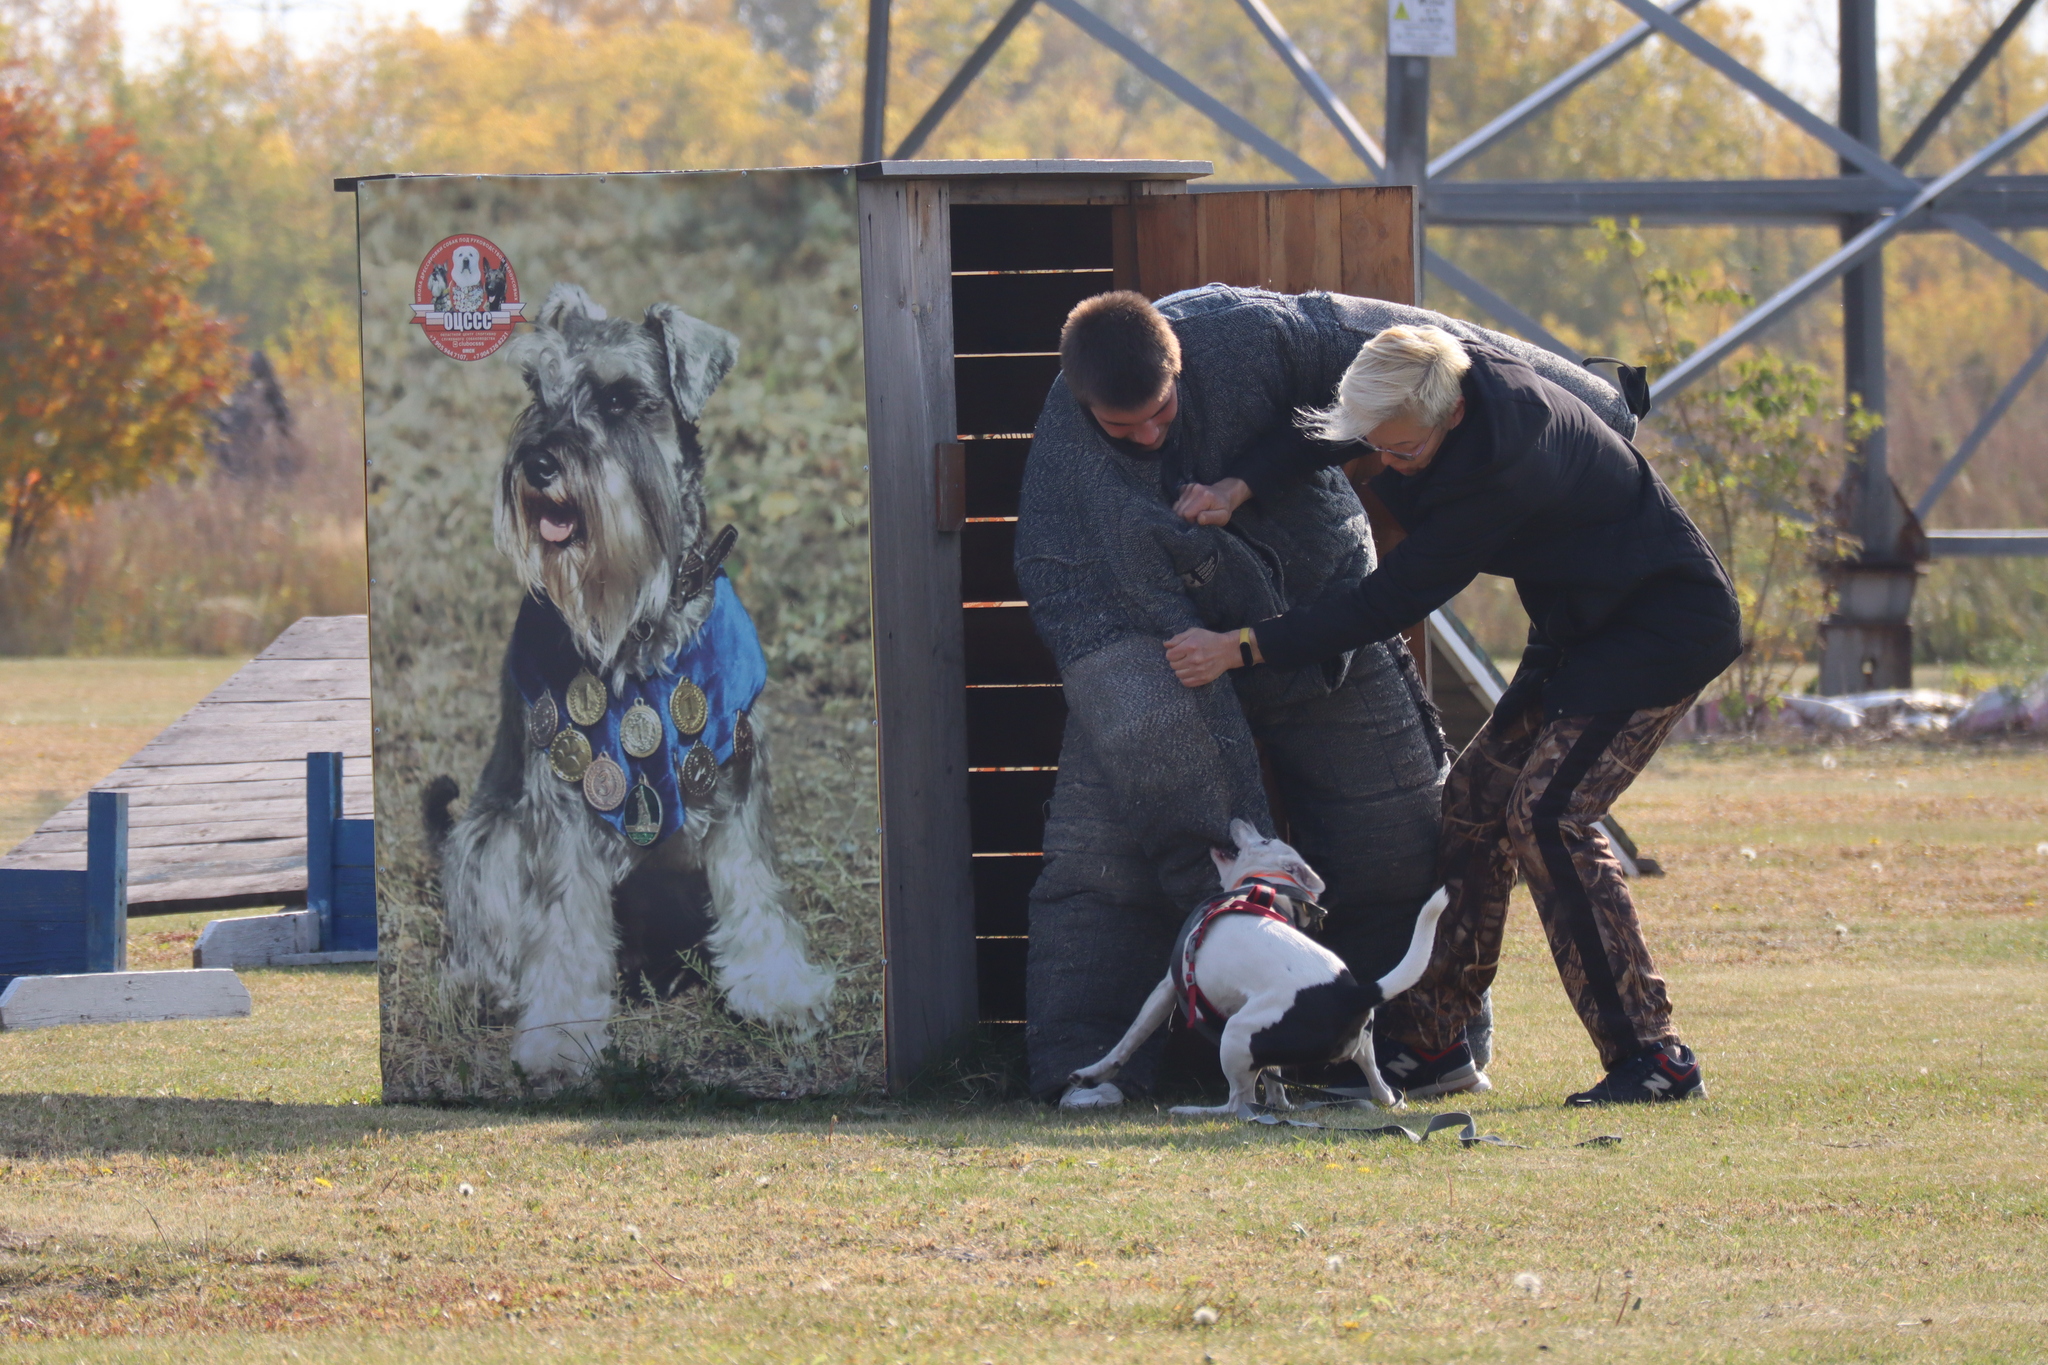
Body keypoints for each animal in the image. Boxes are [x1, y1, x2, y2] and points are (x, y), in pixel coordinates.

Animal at [423, 282, 839, 1080]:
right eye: (537, 389)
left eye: (620, 399)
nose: (538, 461)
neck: (641, 623)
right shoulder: (558, 801)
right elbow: (561, 924)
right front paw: (559, 1034)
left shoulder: (735, 773)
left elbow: (756, 890)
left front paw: (779, 989)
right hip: (488, 839)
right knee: (485, 927)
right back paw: (481, 986)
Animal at [1064, 822, 1449, 1121]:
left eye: (1264, 841)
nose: (1239, 819)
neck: (1263, 887)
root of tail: (1355, 993)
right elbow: (1273, 1076)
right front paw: (1280, 1103)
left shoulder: (1167, 988)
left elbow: (1129, 1039)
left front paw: (1091, 1073)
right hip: (1354, 1050)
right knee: (1380, 1088)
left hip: (1235, 1034)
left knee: (1239, 1104)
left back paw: (1194, 1111)